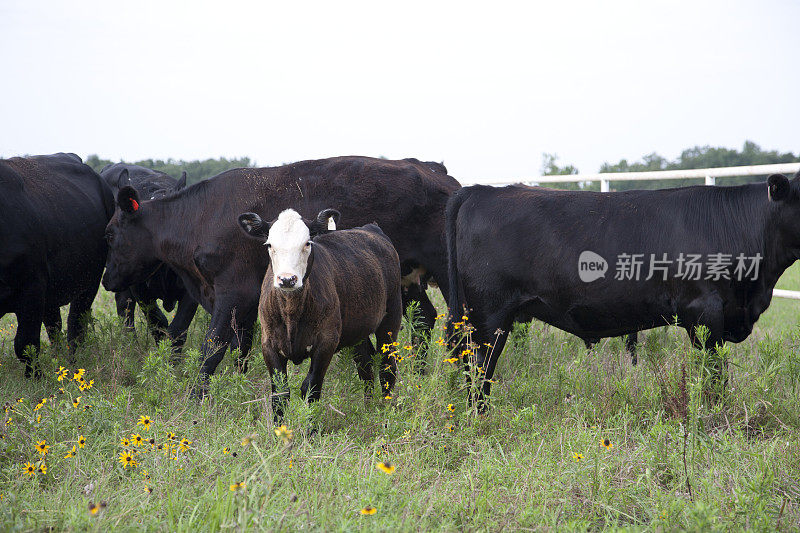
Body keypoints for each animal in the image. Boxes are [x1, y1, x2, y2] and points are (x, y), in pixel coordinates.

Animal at [0, 153, 114, 374]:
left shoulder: (32, 289)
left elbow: (26, 345)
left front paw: (36, 378)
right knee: (55, 327)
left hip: (89, 282)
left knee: (76, 324)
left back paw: (73, 362)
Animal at [236, 210, 400, 422]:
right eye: (270, 245)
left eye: (307, 243)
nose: (287, 279)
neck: (291, 313)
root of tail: (371, 228)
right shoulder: (268, 343)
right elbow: (280, 392)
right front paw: (278, 428)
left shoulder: (326, 342)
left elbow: (311, 387)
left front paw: (311, 427)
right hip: (357, 331)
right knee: (365, 366)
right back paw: (369, 408)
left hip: (391, 318)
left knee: (387, 366)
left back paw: (386, 412)